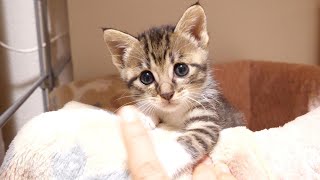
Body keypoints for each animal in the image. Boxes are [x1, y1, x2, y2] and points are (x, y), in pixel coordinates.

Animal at [104, 4, 244, 179]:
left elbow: (190, 141)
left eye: (181, 69)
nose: (166, 94)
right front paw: (143, 115)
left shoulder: (206, 119)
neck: (173, 114)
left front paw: (163, 163)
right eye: (146, 77)